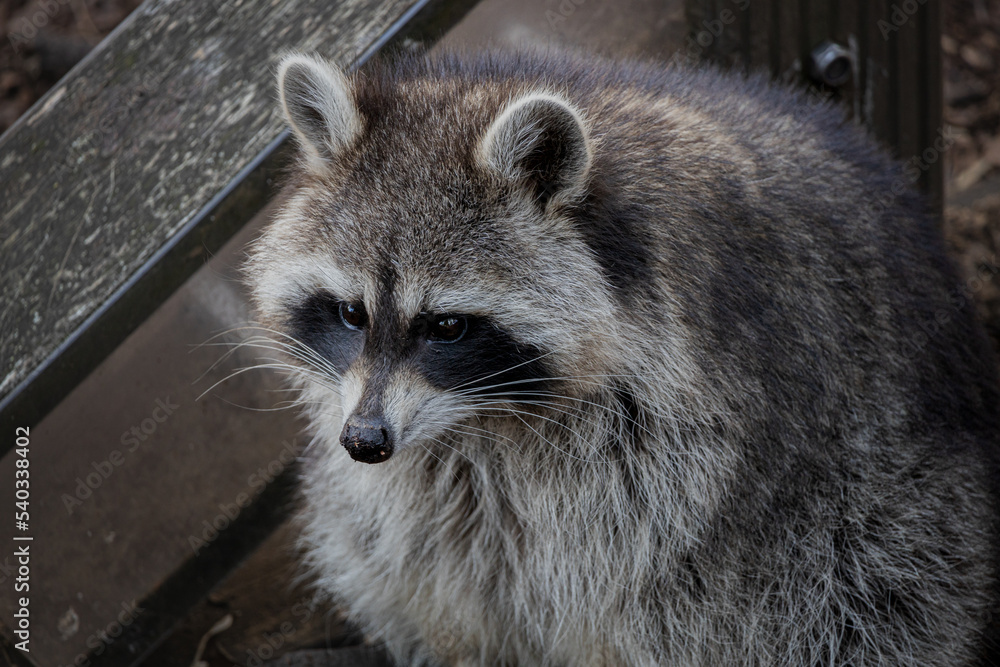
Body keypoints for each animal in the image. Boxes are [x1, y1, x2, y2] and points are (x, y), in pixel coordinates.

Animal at [246, 49, 1000, 666]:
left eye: (447, 326)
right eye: (350, 313)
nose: (365, 440)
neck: (481, 421)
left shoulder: (671, 446)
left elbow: (634, 588)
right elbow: (433, 552)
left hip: (875, 518)